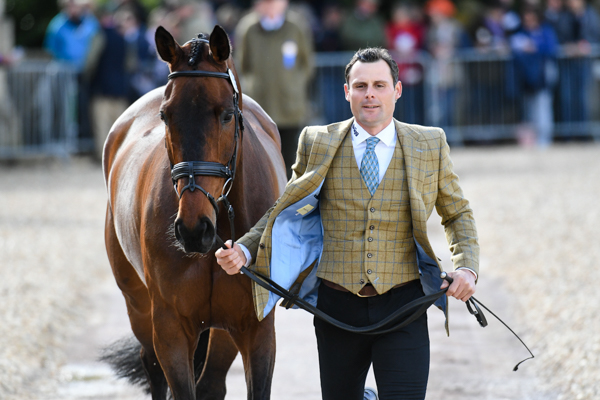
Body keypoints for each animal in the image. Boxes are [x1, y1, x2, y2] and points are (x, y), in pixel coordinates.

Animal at [102, 25, 288, 400]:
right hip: (138, 306)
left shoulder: (256, 328)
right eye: (166, 115)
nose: (193, 229)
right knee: (153, 368)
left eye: (227, 114)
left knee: (212, 383)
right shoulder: (170, 329)